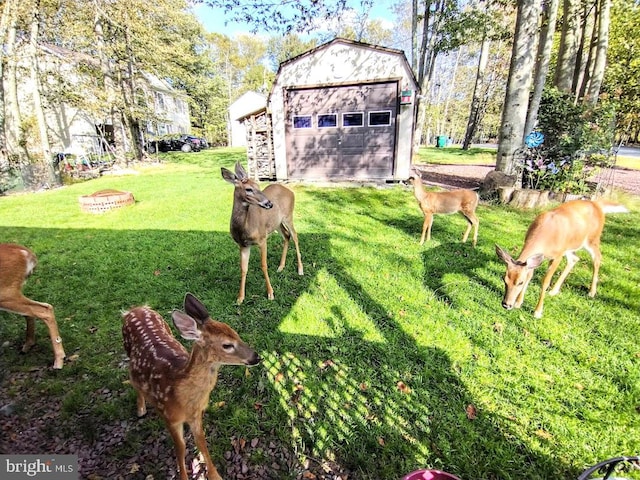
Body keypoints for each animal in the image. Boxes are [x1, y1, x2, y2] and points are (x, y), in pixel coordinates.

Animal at [0, 242, 65, 370]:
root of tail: (25, 252)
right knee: (30, 312)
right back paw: (27, 345)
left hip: (5, 293)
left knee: (44, 309)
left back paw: (59, 360)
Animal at [122, 292, 260, 480]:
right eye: (227, 345)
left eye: (236, 333)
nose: (256, 357)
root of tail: (135, 309)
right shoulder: (169, 417)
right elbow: (180, 449)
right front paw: (183, 476)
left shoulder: (196, 415)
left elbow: (201, 443)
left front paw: (215, 475)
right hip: (127, 351)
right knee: (133, 380)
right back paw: (141, 409)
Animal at [221, 163, 304, 302]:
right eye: (248, 189)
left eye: (258, 185)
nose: (269, 203)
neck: (245, 228)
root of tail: (290, 191)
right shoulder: (243, 245)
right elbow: (243, 268)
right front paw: (240, 298)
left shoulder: (262, 239)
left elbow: (264, 265)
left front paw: (270, 293)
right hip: (276, 223)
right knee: (286, 235)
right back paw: (280, 267)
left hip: (288, 216)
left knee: (295, 236)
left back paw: (300, 269)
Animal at [496, 199, 632, 318]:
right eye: (504, 279)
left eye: (520, 282)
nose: (506, 304)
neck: (545, 236)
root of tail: (597, 204)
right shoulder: (537, 258)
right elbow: (530, 275)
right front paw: (518, 303)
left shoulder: (557, 256)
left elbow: (545, 282)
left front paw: (537, 312)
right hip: (569, 246)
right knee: (574, 259)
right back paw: (554, 291)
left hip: (592, 239)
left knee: (597, 258)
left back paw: (591, 292)